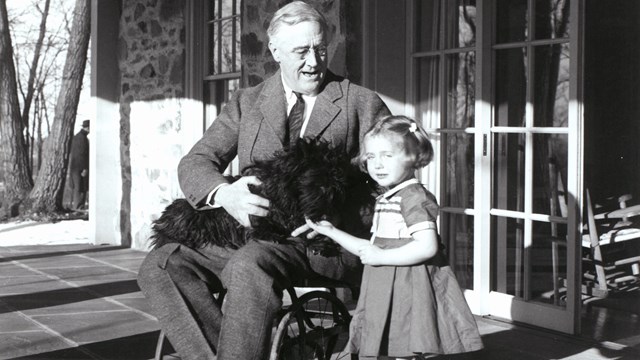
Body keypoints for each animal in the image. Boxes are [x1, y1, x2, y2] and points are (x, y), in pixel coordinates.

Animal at [149, 139, 376, 253]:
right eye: (318, 181)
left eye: (339, 180)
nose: (331, 206)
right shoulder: (255, 225)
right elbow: (284, 235)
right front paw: (317, 243)